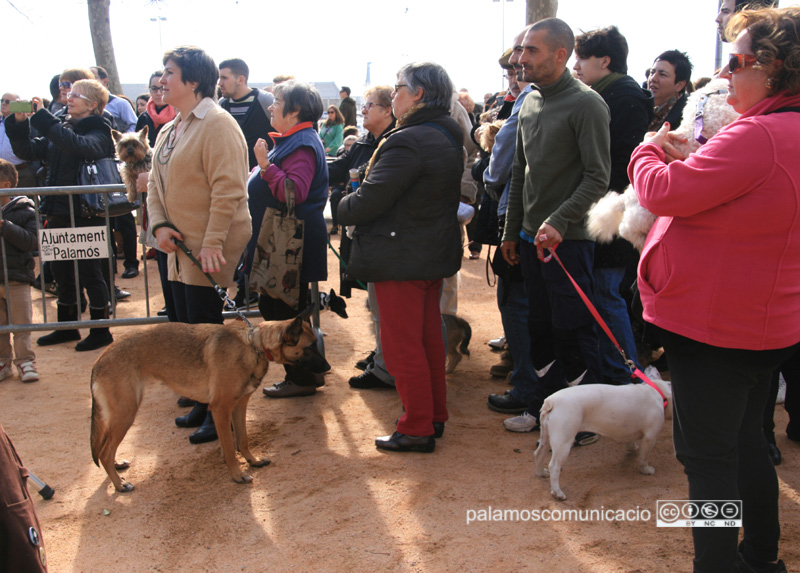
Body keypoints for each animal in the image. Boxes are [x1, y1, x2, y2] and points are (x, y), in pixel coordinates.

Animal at [92, 308, 330, 492]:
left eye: (316, 345)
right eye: (309, 348)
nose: (328, 368)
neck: (253, 345)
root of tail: (100, 359)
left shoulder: (239, 406)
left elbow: (242, 439)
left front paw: (252, 461)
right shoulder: (221, 409)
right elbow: (229, 447)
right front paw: (237, 475)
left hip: (120, 416)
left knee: (105, 448)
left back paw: (116, 467)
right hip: (125, 414)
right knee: (103, 452)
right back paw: (120, 485)